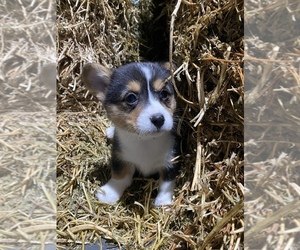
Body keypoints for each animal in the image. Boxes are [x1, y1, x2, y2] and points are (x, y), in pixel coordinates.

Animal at [81, 61, 178, 206]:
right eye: (131, 98)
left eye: (164, 94)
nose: (158, 119)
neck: (146, 141)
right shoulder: (120, 156)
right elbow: (120, 174)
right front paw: (110, 193)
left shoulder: (171, 161)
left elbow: (166, 183)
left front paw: (162, 203)